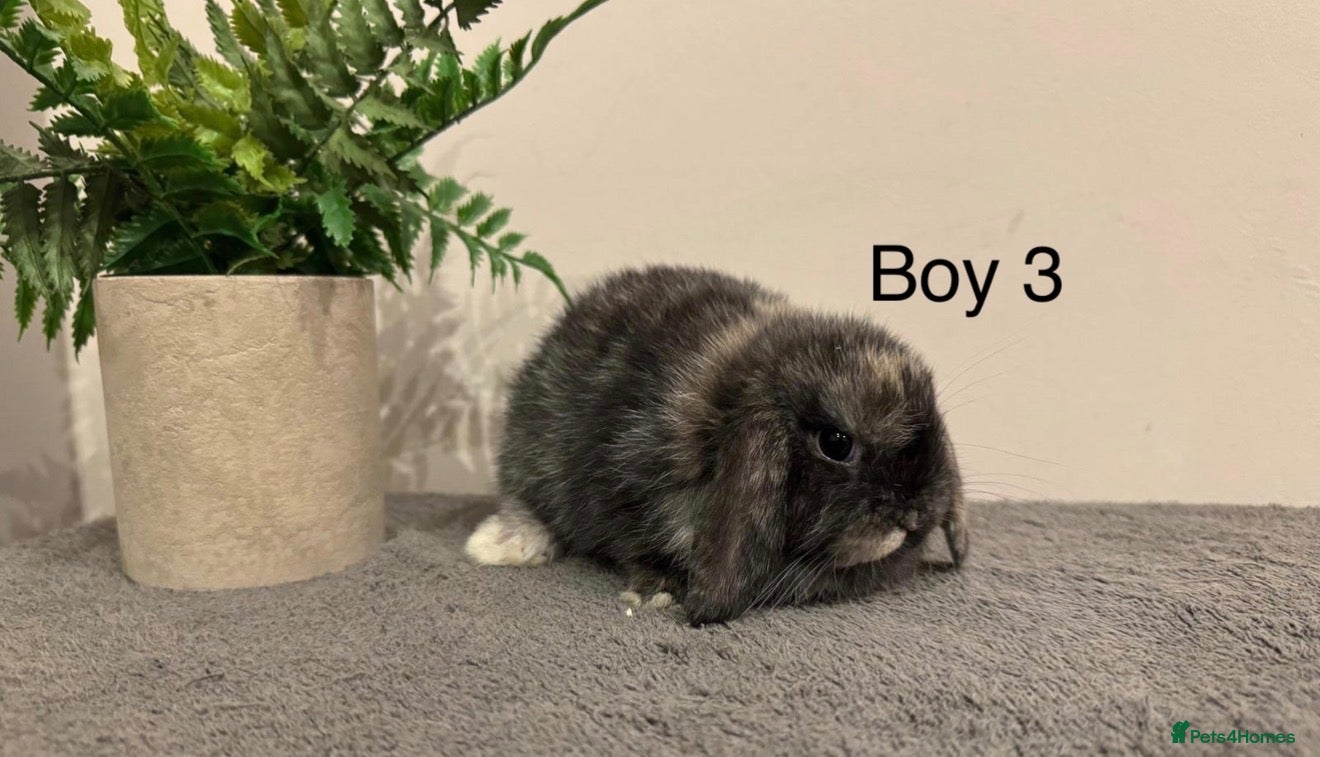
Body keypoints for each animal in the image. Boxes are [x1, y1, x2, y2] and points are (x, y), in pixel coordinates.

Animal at [465, 265, 968, 625]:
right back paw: (502, 543)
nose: (913, 513)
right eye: (836, 443)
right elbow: (637, 546)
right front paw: (657, 591)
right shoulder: (623, 489)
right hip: (529, 449)